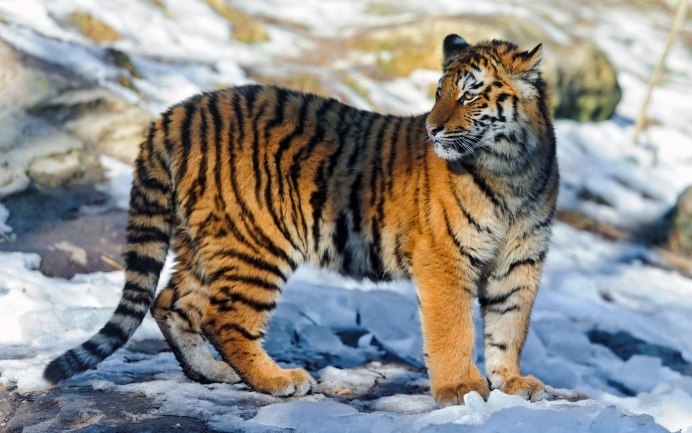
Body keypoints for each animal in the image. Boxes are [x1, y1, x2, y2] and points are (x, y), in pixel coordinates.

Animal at [44, 35, 558, 406]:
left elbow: (509, 327)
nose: (431, 128)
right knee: (224, 317)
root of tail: (176, 112)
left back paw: (211, 373)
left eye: (470, 95)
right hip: (257, 242)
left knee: (171, 302)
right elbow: (453, 329)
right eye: (438, 93)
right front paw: (461, 390)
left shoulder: (520, 263)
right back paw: (278, 380)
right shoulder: (445, 259)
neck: (512, 171)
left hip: (203, 241)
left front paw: (511, 384)